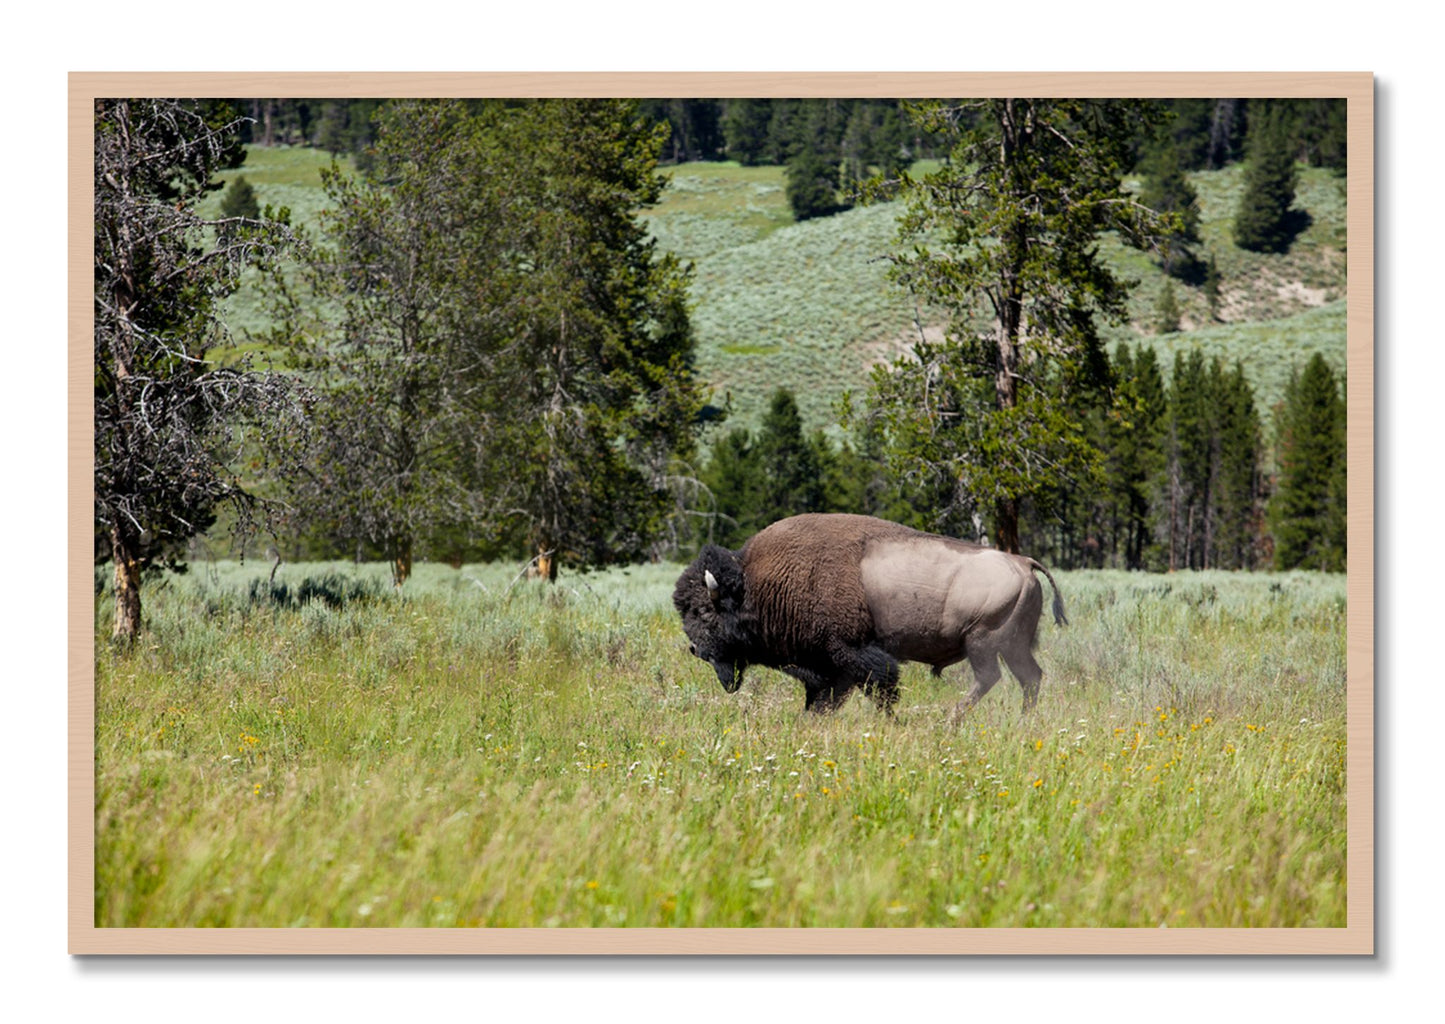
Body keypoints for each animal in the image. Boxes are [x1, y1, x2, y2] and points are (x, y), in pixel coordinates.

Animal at [673, 513, 1067, 718]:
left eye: (704, 611)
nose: (695, 649)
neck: (757, 584)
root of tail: (1023, 562)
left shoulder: (851, 654)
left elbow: (880, 688)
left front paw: (891, 721)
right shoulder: (828, 668)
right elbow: (824, 699)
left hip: (983, 642)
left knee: (990, 678)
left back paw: (950, 720)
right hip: (1013, 645)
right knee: (1029, 678)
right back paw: (1022, 720)